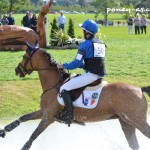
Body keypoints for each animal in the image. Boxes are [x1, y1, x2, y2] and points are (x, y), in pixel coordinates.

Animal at [0, 41, 150, 150]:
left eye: (24, 57)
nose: (17, 70)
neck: (53, 84)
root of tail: (140, 89)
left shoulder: (48, 118)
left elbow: (33, 136)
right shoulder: (44, 112)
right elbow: (23, 117)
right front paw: (4, 131)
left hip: (137, 121)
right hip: (126, 122)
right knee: (134, 144)